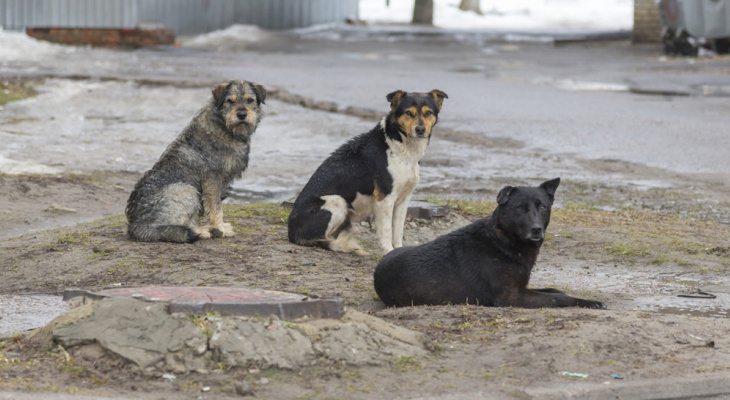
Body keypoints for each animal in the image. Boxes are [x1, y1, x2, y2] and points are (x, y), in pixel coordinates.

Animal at [126, 80, 266, 244]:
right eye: (230, 101)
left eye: (250, 100)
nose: (242, 115)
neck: (224, 127)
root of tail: (137, 225)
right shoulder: (212, 180)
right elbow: (216, 208)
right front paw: (221, 228)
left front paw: (220, 226)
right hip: (187, 190)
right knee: (172, 228)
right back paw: (204, 231)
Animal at [288, 89, 446, 255]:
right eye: (408, 113)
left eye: (428, 113)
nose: (420, 130)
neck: (399, 144)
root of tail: (291, 233)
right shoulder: (385, 198)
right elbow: (386, 231)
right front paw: (388, 251)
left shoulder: (404, 199)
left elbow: (397, 231)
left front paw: (398, 251)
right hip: (336, 201)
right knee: (321, 238)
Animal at [372, 179, 604, 310]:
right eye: (520, 207)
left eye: (543, 207)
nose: (537, 229)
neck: (503, 240)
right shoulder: (512, 297)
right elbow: (558, 299)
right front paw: (589, 302)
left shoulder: (521, 288)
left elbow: (554, 291)